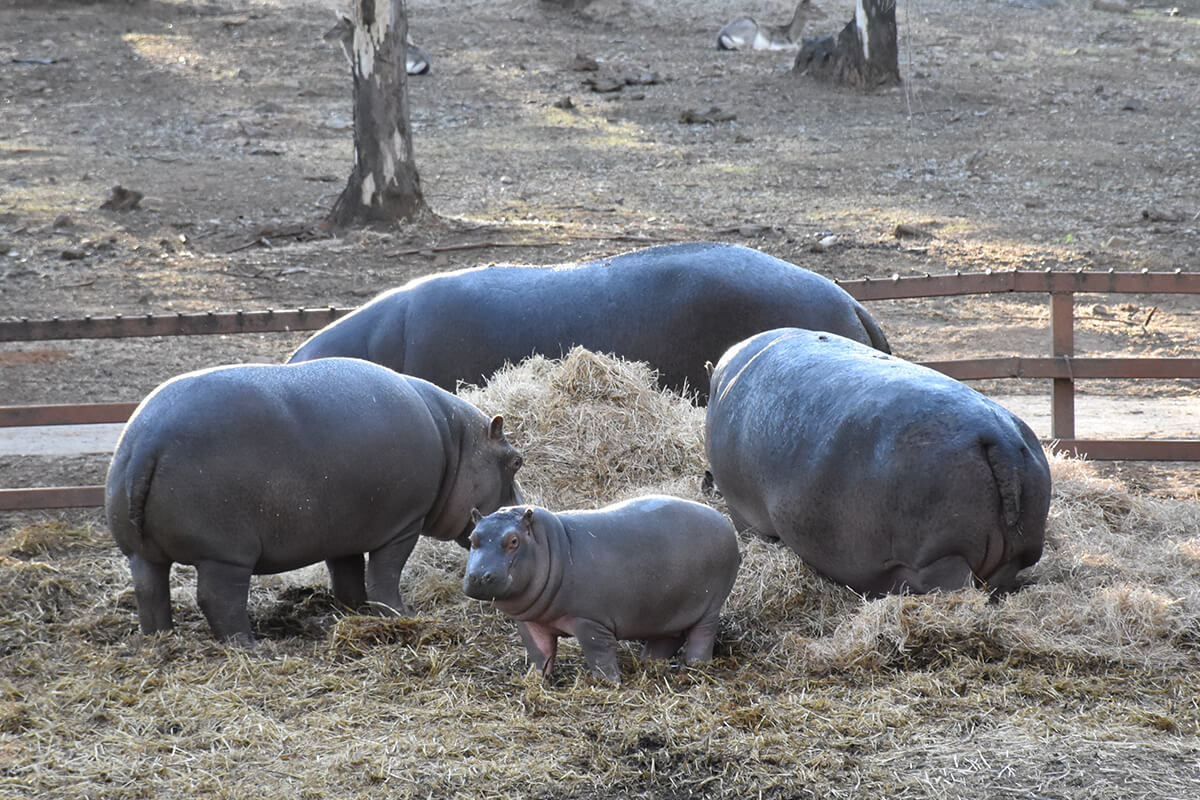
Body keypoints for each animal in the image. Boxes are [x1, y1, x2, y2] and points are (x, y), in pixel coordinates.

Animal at [106, 359, 525, 642]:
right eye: (516, 460)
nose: (523, 512)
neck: (457, 441)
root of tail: (147, 441)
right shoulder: (403, 524)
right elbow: (385, 574)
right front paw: (399, 613)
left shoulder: (346, 530)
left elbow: (348, 575)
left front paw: (355, 611)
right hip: (224, 554)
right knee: (217, 599)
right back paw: (249, 646)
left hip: (141, 552)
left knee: (150, 592)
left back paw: (160, 638)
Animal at [460, 501, 734, 681]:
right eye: (472, 538)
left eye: (514, 541)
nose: (478, 576)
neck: (551, 545)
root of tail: (724, 521)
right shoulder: (530, 622)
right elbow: (540, 653)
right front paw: (534, 680)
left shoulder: (590, 621)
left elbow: (598, 653)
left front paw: (607, 683)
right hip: (666, 610)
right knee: (668, 637)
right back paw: (650, 662)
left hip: (711, 606)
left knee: (702, 635)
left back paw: (697, 666)